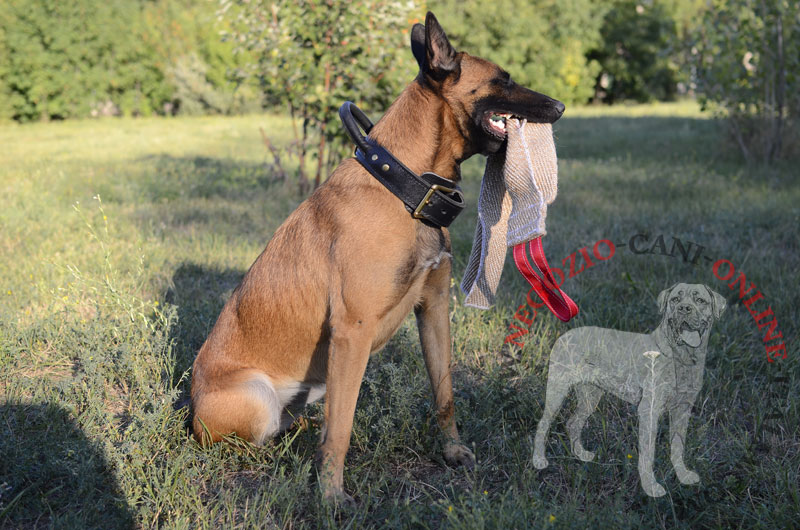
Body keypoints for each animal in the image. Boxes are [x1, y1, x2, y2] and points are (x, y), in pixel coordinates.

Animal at [191, 11, 564, 500]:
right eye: (502, 80)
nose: (560, 107)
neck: (405, 189)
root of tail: (189, 408)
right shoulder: (353, 332)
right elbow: (341, 428)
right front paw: (331, 495)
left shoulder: (433, 309)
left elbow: (444, 395)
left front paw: (451, 451)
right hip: (257, 398)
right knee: (254, 440)